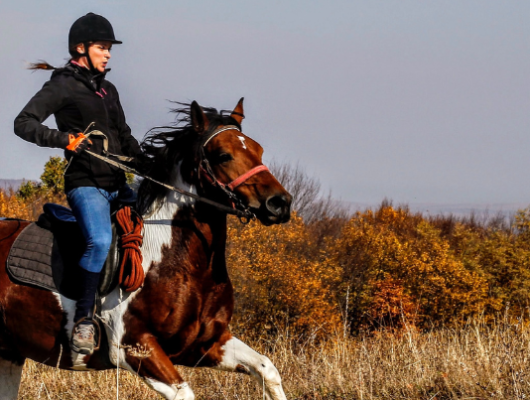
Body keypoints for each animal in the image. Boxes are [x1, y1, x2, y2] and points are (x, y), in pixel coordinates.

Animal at [0, 99, 290, 400]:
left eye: (258, 150)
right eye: (223, 155)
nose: (279, 203)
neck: (178, 263)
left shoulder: (206, 343)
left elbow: (266, 369)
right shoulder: (134, 347)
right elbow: (183, 393)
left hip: (10, 354)